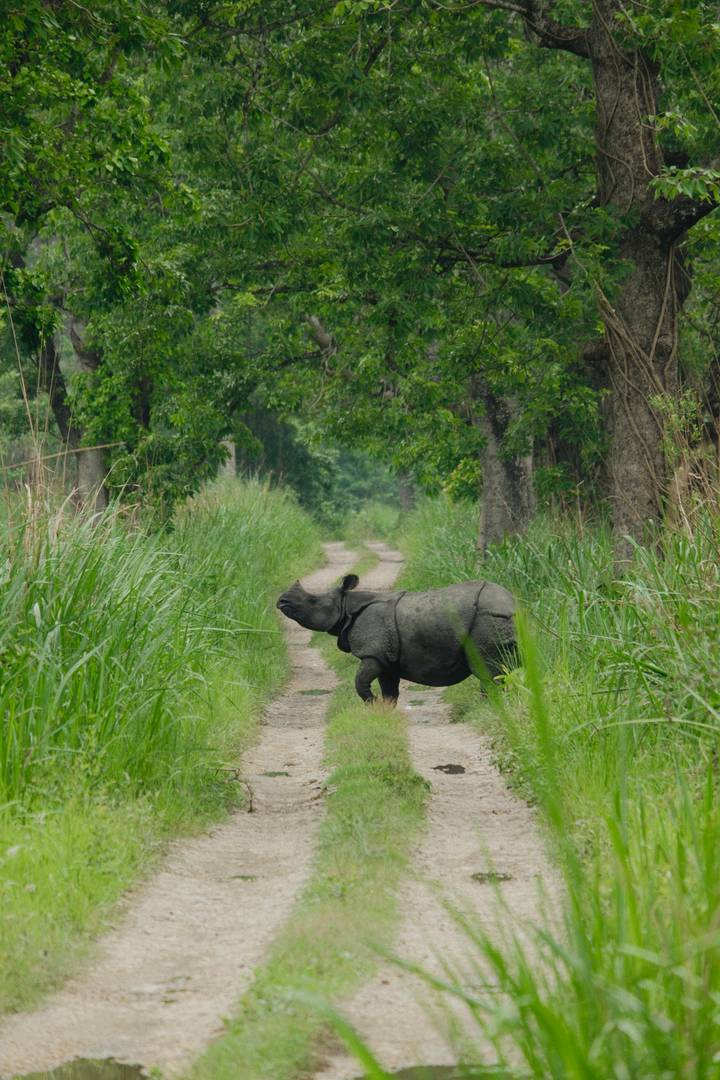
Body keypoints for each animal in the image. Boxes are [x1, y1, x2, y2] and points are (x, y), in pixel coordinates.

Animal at [276, 573, 517, 704]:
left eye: (312, 600)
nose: (281, 601)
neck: (346, 606)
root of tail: (510, 604)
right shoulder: (386, 658)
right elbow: (390, 692)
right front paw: (384, 710)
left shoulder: (373, 652)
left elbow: (360, 682)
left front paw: (372, 705)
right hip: (503, 620)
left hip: (486, 619)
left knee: (486, 669)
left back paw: (490, 706)